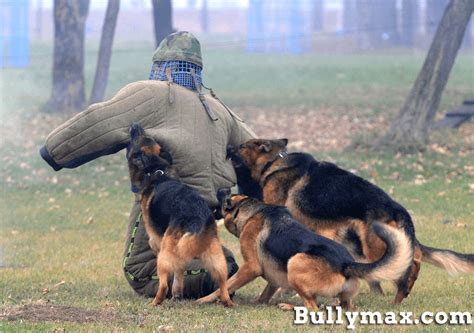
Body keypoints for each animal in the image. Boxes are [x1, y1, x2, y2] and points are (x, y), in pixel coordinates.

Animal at [128, 123, 233, 308]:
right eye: (149, 138)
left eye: (136, 139)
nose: (135, 125)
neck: (157, 170)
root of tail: (196, 220)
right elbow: (179, 273)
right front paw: (177, 293)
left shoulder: (156, 239)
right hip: (218, 260)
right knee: (223, 284)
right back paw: (227, 301)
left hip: (165, 256)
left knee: (163, 285)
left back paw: (155, 302)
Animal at [196, 195, 412, 308]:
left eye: (222, 203)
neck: (251, 211)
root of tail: (346, 264)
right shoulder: (274, 274)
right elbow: (267, 290)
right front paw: (259, 302)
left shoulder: (250, 268)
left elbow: (224, 286)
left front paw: (204, 299)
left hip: (296, 261)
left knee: (313, 308)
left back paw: (289, 307)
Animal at [233, 137, 474, 300]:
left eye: (241, 146)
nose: (228, 148)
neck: (274, 160)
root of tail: (399, 210)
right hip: (359, 243)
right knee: (408, 257)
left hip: (374, 246)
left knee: (411, 257)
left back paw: (403, 287)